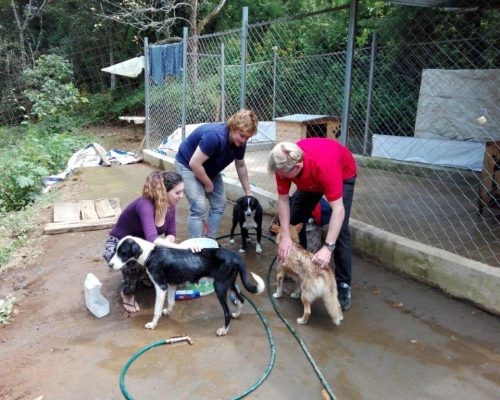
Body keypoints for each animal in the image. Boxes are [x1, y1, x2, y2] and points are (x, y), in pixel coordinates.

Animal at [108, 236, 266, 336]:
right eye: (115, 250)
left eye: (123, 253)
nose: (109, 264)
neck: (149, 254)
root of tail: (234, 255)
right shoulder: (171, 285)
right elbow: (171, 302)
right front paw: (168, 312)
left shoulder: (161, 287)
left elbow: (156, 310)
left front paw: (153, 324)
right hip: (230, 283)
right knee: (241, 299)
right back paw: (237, 314)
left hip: (220, 287)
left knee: (226, 312)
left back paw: (223, 330)